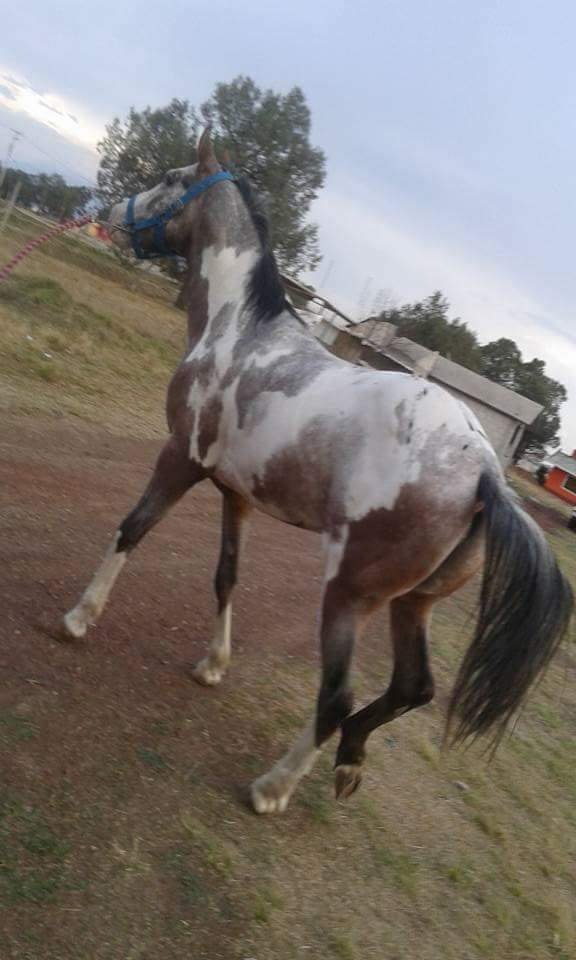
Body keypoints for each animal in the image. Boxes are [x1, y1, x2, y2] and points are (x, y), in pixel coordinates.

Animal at [61, 130, 573, 814]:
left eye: (171, 178)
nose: (115, 212)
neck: (238, 330)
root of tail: (485, 475)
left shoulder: (181, 458)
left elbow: (131, 529)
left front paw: (79, 619)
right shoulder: (236, 494)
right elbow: (227, 576)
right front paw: (213, 665)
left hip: (350, 595)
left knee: (338, 696)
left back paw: (272, 788)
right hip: (413, 603)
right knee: (413, 688)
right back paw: (348, 762)